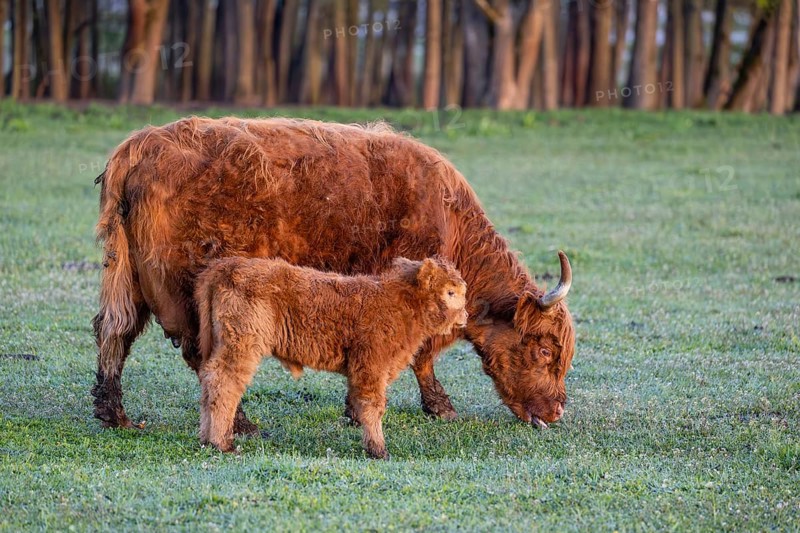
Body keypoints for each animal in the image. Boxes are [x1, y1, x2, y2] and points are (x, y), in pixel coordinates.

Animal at [93, 116, 575, 435]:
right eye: (544, 351)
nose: (556, 412)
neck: (448, 217)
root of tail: (142, 143)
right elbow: (422, 355)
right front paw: (438, 407)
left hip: (127, 278)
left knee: (113, 332)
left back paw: (113, 415)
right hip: (190, 290)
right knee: (201, 356)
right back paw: (241, 422)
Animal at [195, 256, 469, 458]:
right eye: (450, 292)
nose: (465, 315)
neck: (401, 303)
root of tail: (228, 265)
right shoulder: (371, 366)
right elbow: (373, 405)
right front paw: (379, 450)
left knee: (209, 381)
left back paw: (206, 439)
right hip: (241, 346)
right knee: (224, 384)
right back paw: (222, 443)